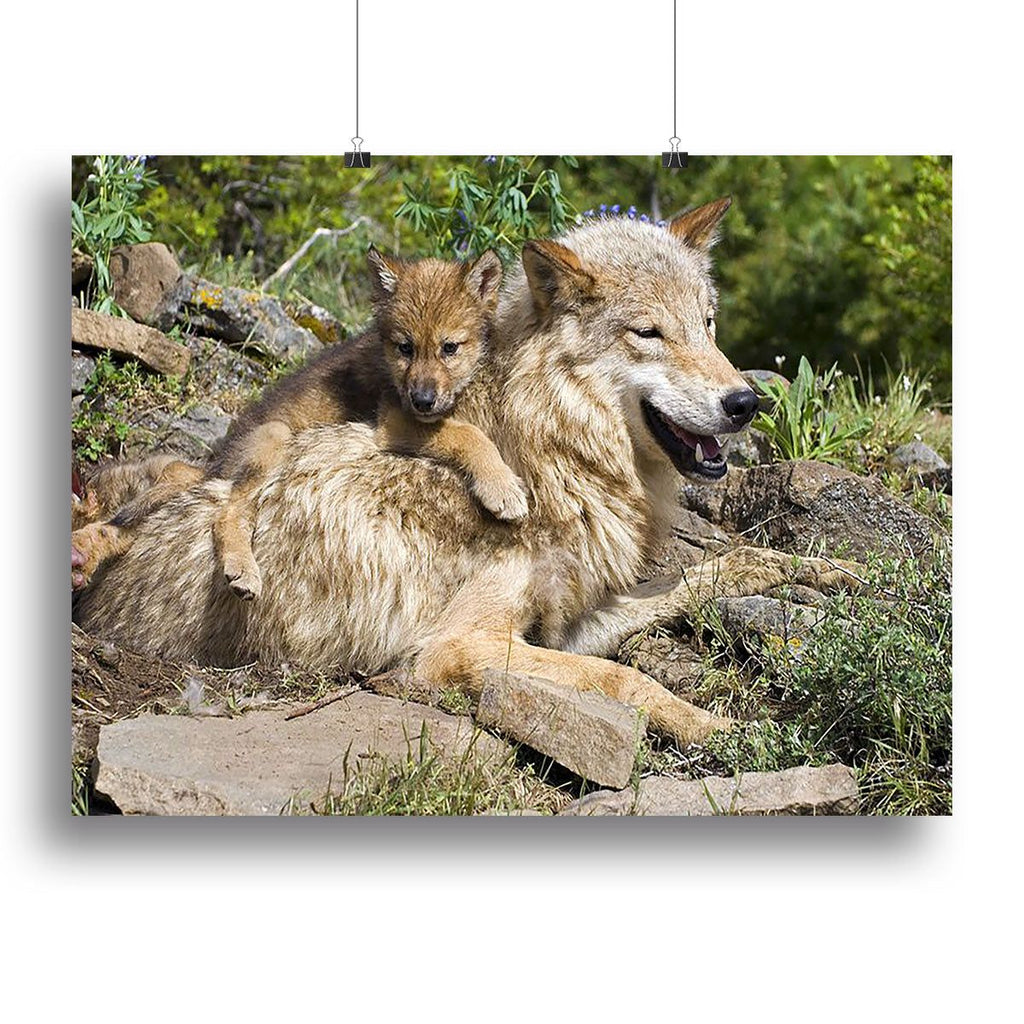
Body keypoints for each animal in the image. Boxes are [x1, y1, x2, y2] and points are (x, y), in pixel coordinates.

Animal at [71, 247, 525, 600]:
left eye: (450, 348)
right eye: (405, 348)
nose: (423, 399)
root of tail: (217, 462)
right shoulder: (394, 420)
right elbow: (467, 434)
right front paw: (502, 488)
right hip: (275, 437)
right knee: (226, 512)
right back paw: (243, 570)